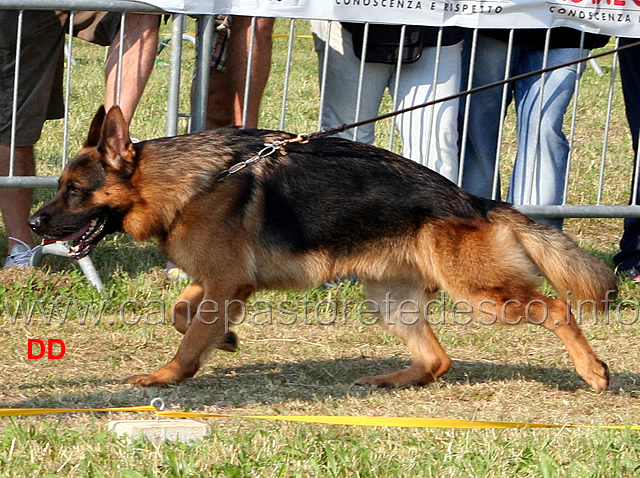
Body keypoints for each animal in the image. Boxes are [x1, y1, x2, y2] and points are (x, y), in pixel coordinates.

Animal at [28, 106, 616, 390]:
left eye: (74, 190)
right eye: (59, 185)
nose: (35, 223)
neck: (191, 183)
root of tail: (474, 199)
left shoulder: (226, 280)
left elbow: (188, 334)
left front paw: (168, 375)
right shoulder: (224, 281)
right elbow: (181, 311)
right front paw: (226, 341)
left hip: (482, 294)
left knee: (556, 307)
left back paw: (593, 371)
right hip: (391, 300)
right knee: (438, 359)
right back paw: (388, 379)